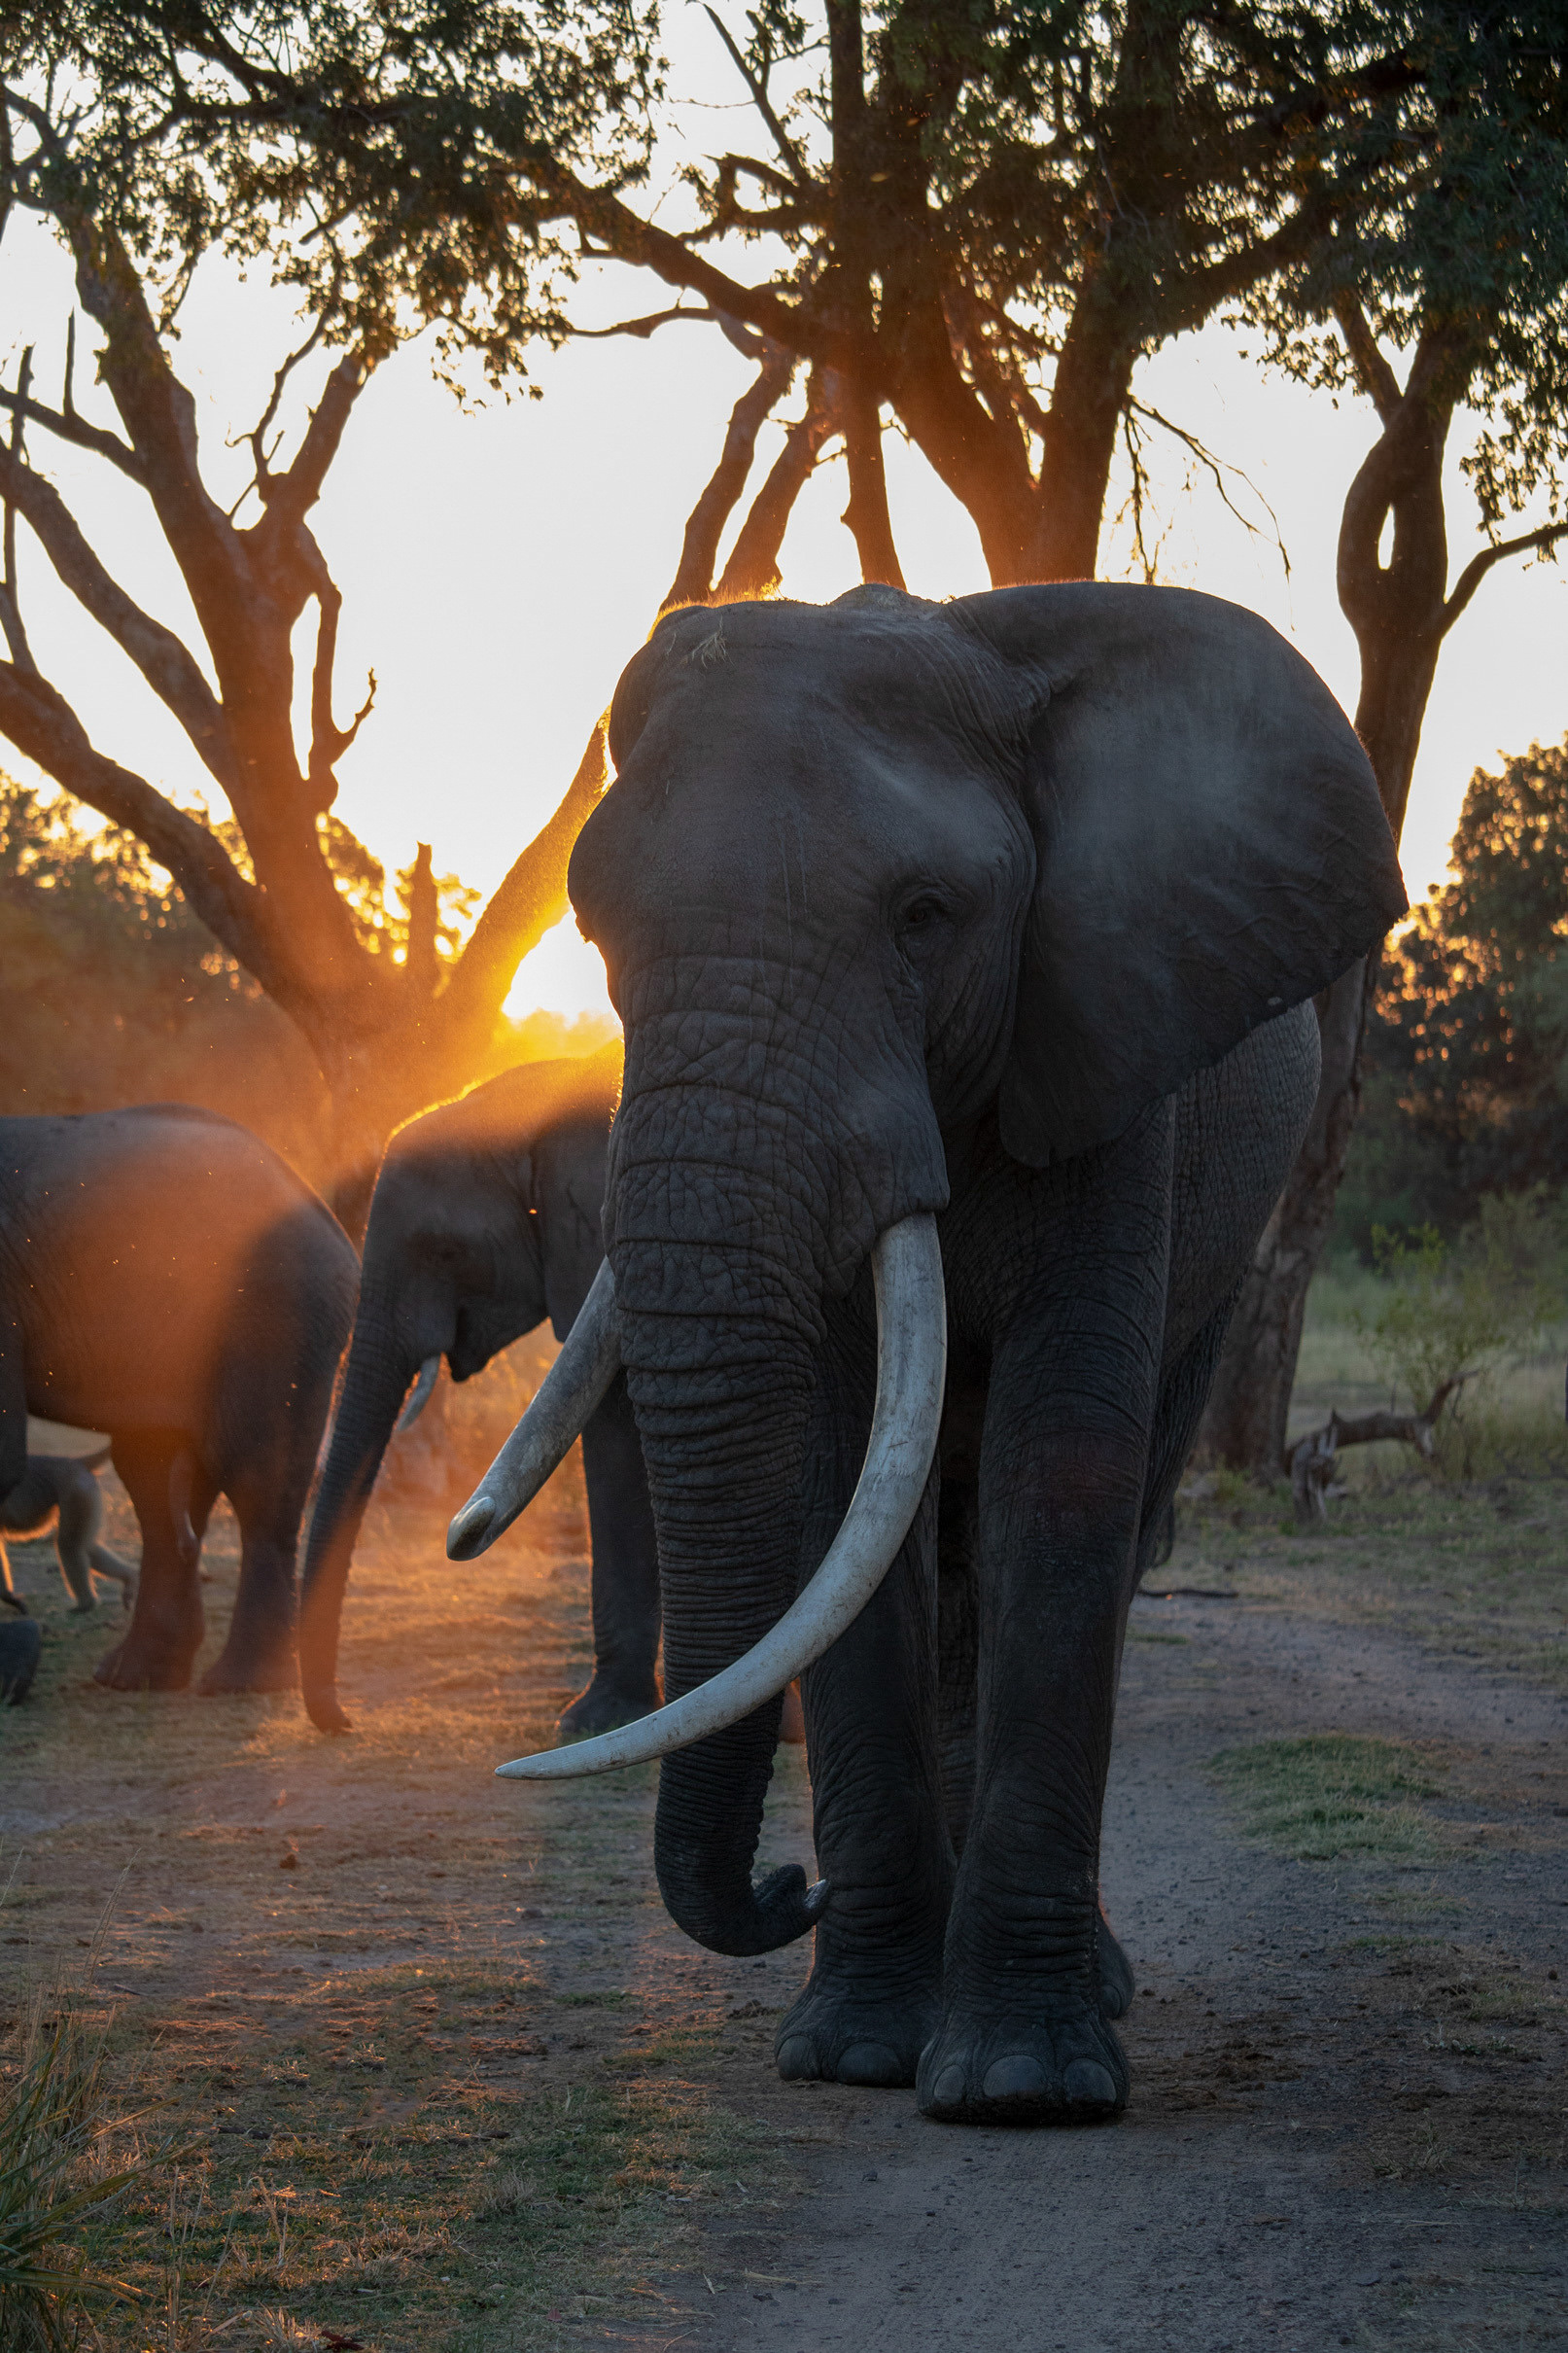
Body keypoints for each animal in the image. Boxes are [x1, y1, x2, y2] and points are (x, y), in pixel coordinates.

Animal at [1, 1448, 137, 1613]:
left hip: (77, 1491)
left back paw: (86, 1604)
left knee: (69, 1544)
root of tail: (73, 1462)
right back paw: (130, 1576)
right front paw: (9, 1598)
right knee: (86, 1547)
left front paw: (9, 1598)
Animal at [449, 582, 1404, 2130]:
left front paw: (1022, 2084)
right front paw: (851, 2054)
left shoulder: (1105, 1049)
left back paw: (1093, 1983)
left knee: (1109, 1506)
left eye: (924, 916)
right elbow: (844, 1497)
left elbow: (1055, 1478)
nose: (786, 1881)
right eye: (592, 929)